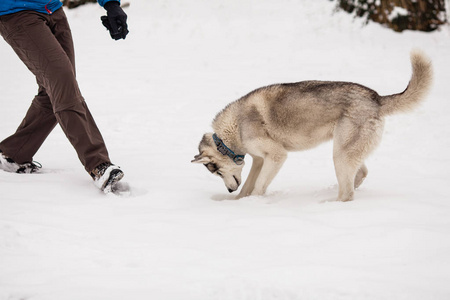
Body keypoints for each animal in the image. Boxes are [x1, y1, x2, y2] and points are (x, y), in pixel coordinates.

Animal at [192, 51, 432, 202]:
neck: (232, 132)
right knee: (360, 174)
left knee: (348, 194)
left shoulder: (276, 156)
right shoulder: (260, 160)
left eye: (216, 171)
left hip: (340, 154)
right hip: (346, 150)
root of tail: (377, 98)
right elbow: (249, 185)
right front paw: (238, 202)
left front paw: (253, 203)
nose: (229, 190)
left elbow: (259, 186)